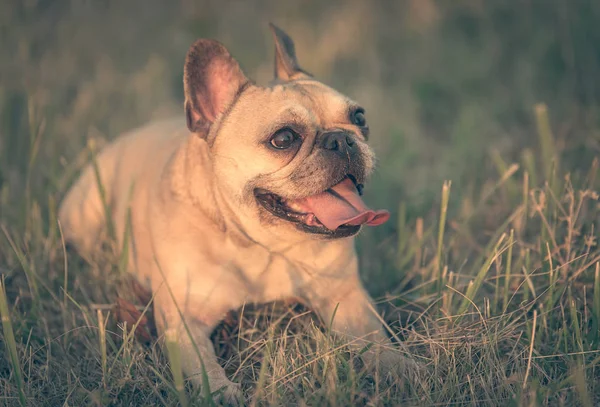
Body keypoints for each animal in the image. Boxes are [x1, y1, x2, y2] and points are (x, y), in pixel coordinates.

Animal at [59, 24, 408, 404]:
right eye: (284, 138)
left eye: (359, 118)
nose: (342, 140)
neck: (261, 245)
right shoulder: (184, 321)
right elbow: (203, 367)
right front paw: (223, 392)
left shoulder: (347, 298)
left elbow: (375, 340)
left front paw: (403, 367)